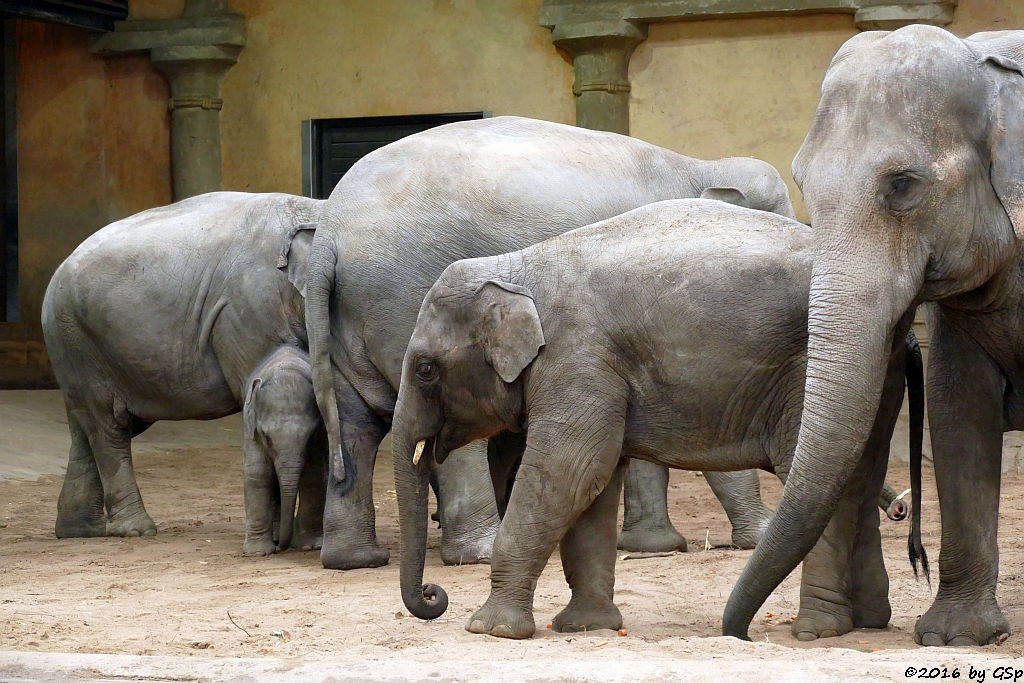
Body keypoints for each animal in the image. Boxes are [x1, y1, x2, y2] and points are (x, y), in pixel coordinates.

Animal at [41, 191, 321, 540]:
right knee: (108, 426)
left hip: (82, 347)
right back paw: (136, 530)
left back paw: (80, 530)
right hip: (78, 340)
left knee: (88, 425)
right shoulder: (251, 313)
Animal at [239, 348, 323, 557]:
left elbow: (314, 474)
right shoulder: (250, 424)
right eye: (267, 437)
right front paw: (258, 553)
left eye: (310, 436)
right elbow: (257, 474)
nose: (280, 549)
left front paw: (311, 546)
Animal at [303, 113, 798, 573]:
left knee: (356, 425)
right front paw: (758, 536)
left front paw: (653, 546)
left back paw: (355, 559)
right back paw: (481, 551)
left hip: (346, 321)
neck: (701, 164)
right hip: (404, 297)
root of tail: (330, 231)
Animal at [389, 198, 921, 643]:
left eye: (425, 369)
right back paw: (867, 622)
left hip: (812, 370)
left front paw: (492, 630)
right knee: (854, 477)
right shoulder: (595, 374)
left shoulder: (577, 361)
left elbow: (568, 474)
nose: (434, 596)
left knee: (813, 480)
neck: (515, 266)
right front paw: (586, 627)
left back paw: (815, 630)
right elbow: (594, 487)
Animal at [716, 26, 1024, 647]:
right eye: (803, 183)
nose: (738, 634)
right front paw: (955, 637)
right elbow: (959, 409)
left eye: (902, 185)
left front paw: (952, 637)